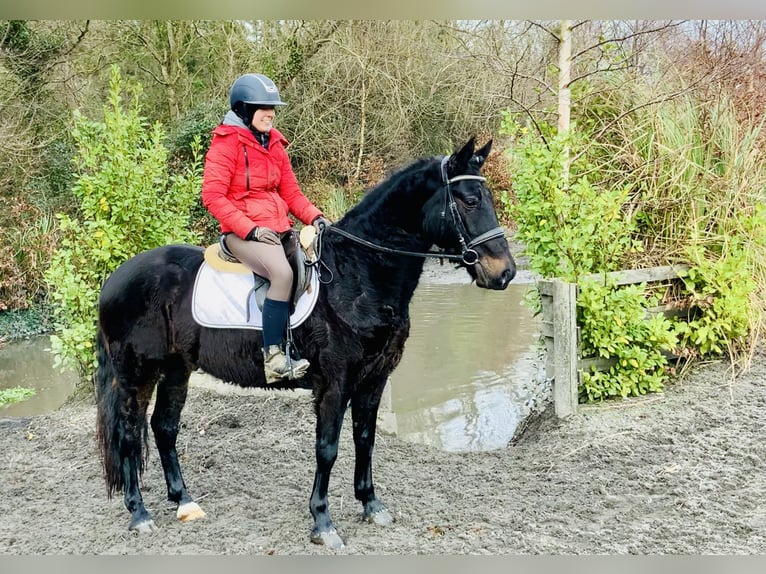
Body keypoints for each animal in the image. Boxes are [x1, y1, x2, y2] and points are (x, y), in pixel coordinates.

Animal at [96, 137, 516, 552]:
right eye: (470, 200)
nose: (505, 272)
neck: (358, 274)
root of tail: (116, 277)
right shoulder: (335, 382)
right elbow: (327, 448)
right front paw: (323, 523)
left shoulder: (374, 379)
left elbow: (365, 440)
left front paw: (371, 505)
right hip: (136, 372)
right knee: (129, 434)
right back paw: (139, 514)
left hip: (176, 368)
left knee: (164, 427)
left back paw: (184, 502)